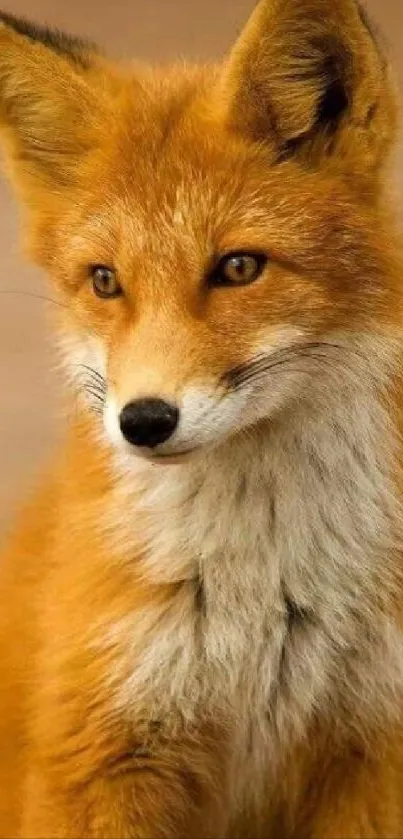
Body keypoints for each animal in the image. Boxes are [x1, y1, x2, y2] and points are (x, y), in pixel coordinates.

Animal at [0, 0, 403, 836]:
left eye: (238, 267)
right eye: (105, 281)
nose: (144, 420)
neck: (255, 600)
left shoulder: (367, 755)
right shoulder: (98, 754)